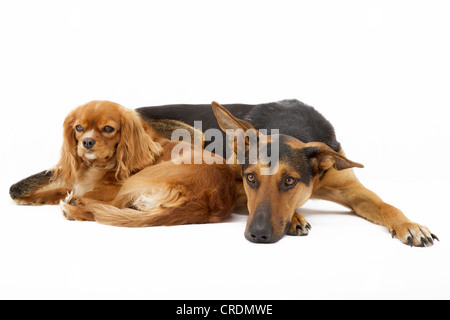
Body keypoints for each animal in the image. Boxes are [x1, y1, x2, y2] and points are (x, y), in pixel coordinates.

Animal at [9, 100, 440, 248]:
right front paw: (296, 218)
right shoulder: (233, 185)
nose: (258, 236)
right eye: (250, 179)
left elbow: (385, 205)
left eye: (290, 181)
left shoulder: (349, 187)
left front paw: (409, 224)